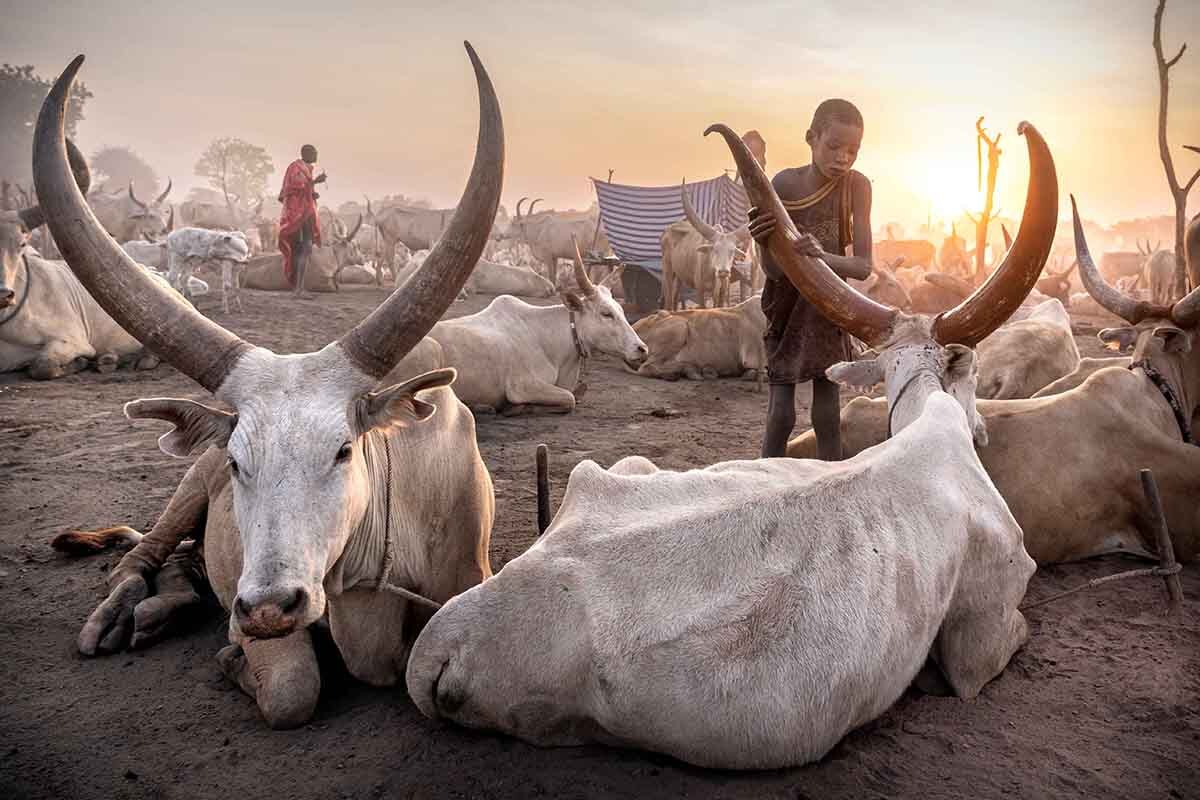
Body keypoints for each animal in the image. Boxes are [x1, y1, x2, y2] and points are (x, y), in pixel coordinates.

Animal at [0, 140, 160, 379]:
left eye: (21, 244)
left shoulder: (72, 340)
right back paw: (108, 358)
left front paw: (81, 362)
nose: (3, 294)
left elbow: (42, 365)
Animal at [42, 47, 504, 729]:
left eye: (343, 450)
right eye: (237, 462)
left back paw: (165, 607)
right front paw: (233, 659)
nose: (266, 607)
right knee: (138, 558)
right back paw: (124, 615)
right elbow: (291, 692)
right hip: (185, 491)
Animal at [394, 240, 646, 414]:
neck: (548, 338)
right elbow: (570, 398)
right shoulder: (523, 386)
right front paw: (516, 408)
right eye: (606, 313)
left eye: (621, 310)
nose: (641, 349)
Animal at [660, 182, 749, 310]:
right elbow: (702, 305)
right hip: (668, 271)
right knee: (668, 299)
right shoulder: (700, 289)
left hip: (679, 276)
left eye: (732, 251)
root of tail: (667, 231)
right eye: (715, 250)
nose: (723, 272)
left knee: (675, 297)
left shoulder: (722, 290)